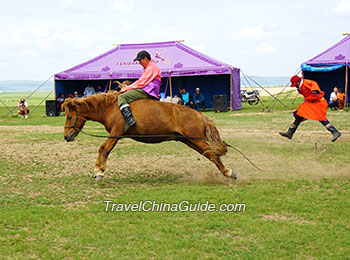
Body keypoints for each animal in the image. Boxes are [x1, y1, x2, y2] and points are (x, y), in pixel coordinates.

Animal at [61, 91, 237, 181]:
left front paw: (99, 171)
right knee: (210, 155)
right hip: (191, 141)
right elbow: (103, 150)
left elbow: (104, 149)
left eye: (69, 117)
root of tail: (198, 114)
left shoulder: (116, 133)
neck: (111, 107)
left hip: (196, 140)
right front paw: (98, 170)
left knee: (213, 156)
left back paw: (229, 173)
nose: (66, 136)